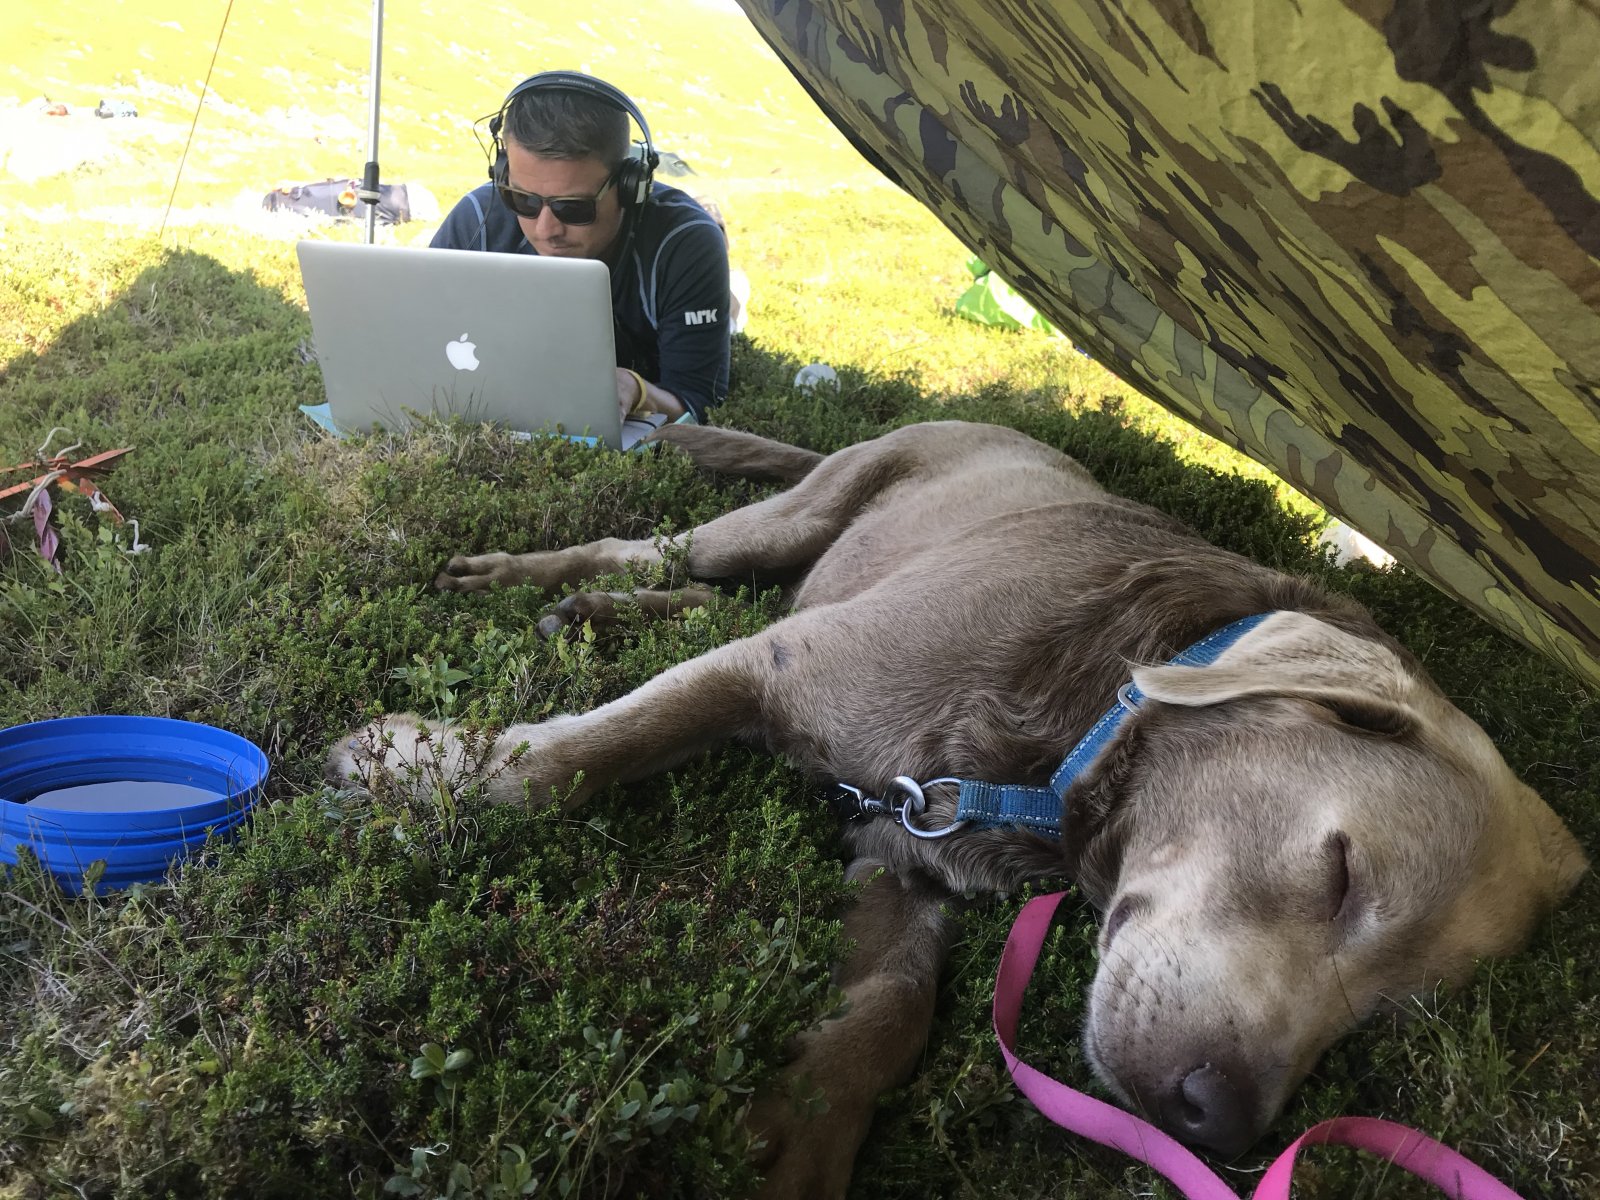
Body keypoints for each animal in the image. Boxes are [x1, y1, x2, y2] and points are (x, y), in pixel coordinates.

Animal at [327, 420, 1587, 1199]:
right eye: (1338, 872)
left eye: (1382, 1018)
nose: (1220, 1123)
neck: (1059, 752)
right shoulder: (783, 672)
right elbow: (577, 759)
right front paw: (417, 765)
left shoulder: (902, 846)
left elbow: (891, 1006)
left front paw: (800, 1134)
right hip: (792, 514)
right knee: (663, 548)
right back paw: (534, 579)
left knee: (702, 594)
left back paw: (598, 615)